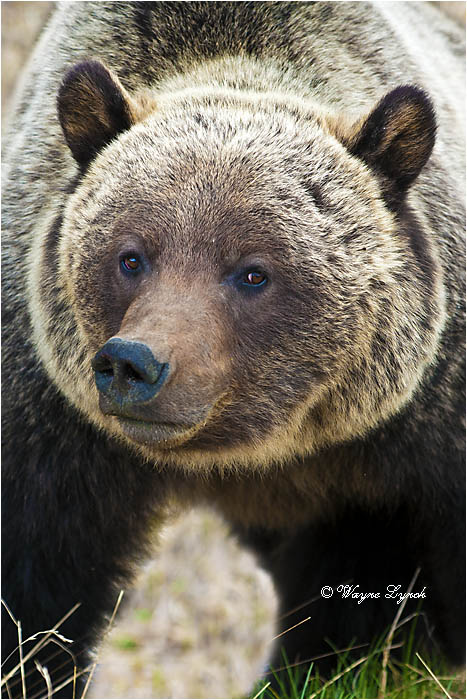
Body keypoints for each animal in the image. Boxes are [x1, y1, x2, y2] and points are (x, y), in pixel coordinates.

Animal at [2, 1, 465, 697]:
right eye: (130, 256)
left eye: (252, 272)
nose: (133, 364)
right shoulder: (51, 424)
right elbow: (34, 589)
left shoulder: (431, 422)